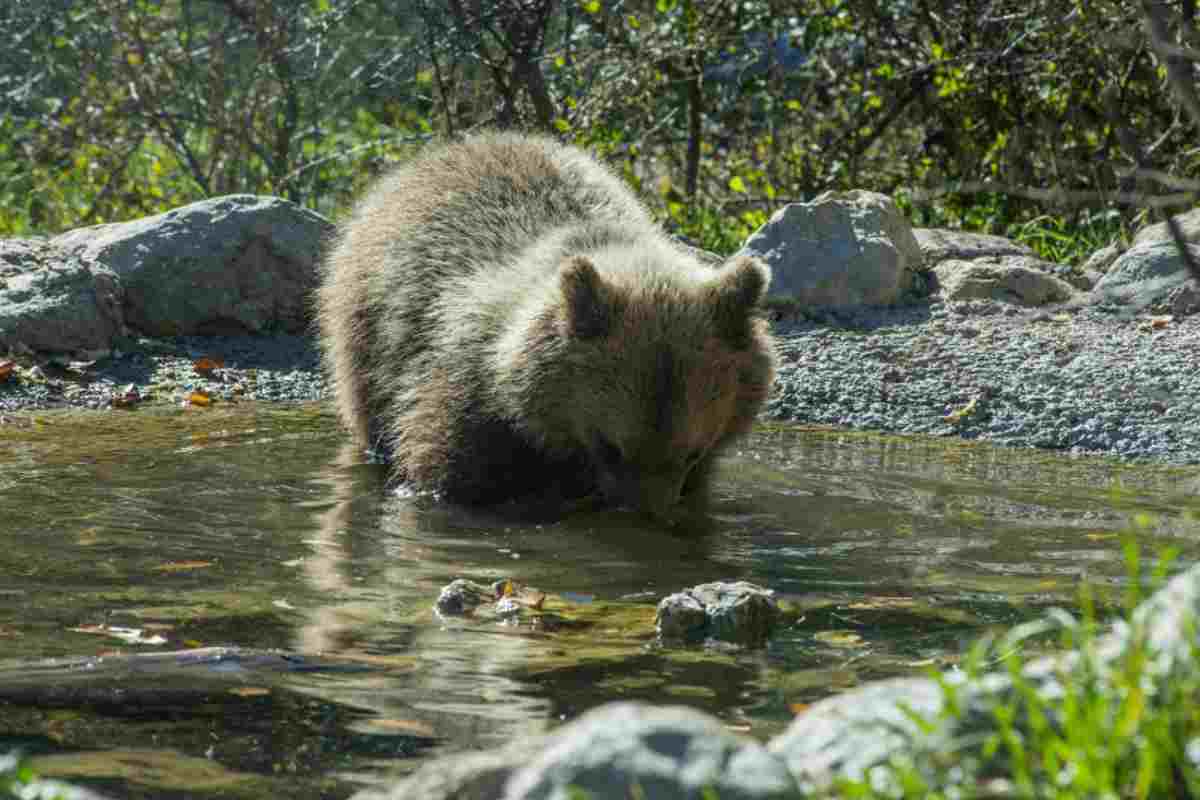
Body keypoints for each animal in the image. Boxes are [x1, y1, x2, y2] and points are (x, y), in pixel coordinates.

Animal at [314, 131, 772, 520]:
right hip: (364, 328)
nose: (644, 514)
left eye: (692, 452)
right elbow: (449, 471)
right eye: (611, 447)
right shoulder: (464, 396)